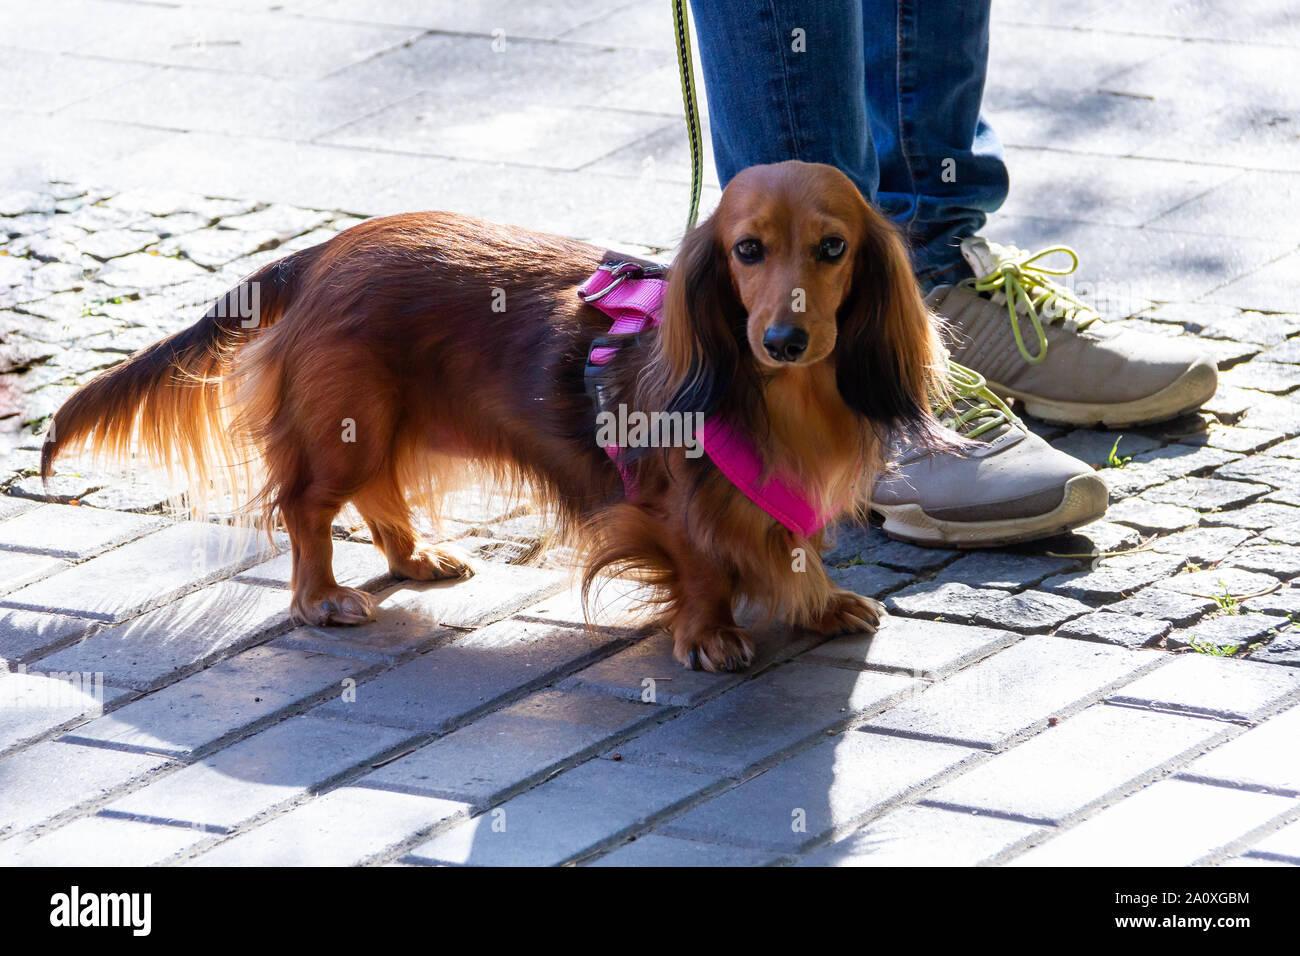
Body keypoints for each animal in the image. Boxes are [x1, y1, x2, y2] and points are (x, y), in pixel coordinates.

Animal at [43, 160, 946, 671]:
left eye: (833, 248)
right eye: (746, 251)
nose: (786, 339)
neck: (778, 397)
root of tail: (322, 253)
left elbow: (794, 550)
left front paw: (822, 602)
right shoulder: (666, 505)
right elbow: (702, 565)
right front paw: (709, 634)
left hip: (383, 422)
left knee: (379, 495)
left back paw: (416, 559)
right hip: (350, 425)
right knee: (308, 506)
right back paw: (322, 598)